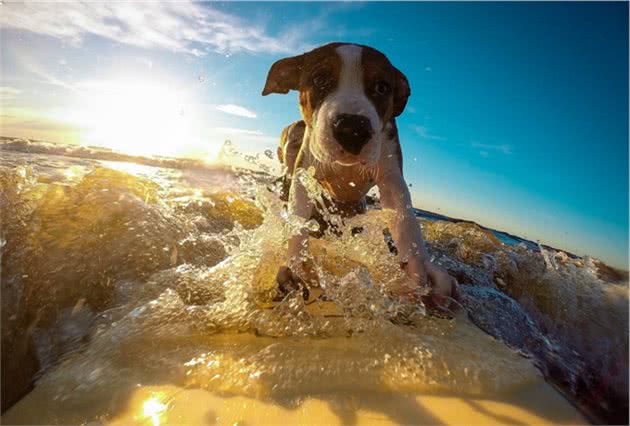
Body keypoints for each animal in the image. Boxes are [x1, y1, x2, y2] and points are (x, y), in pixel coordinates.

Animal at [264, 42, 462, 310]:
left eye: (382, 87)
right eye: (320, 79)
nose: (352, 128)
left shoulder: (391, 176)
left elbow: (406, 224)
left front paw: (419, 276)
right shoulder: (305, 171)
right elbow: (298, 218)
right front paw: (296, 266)